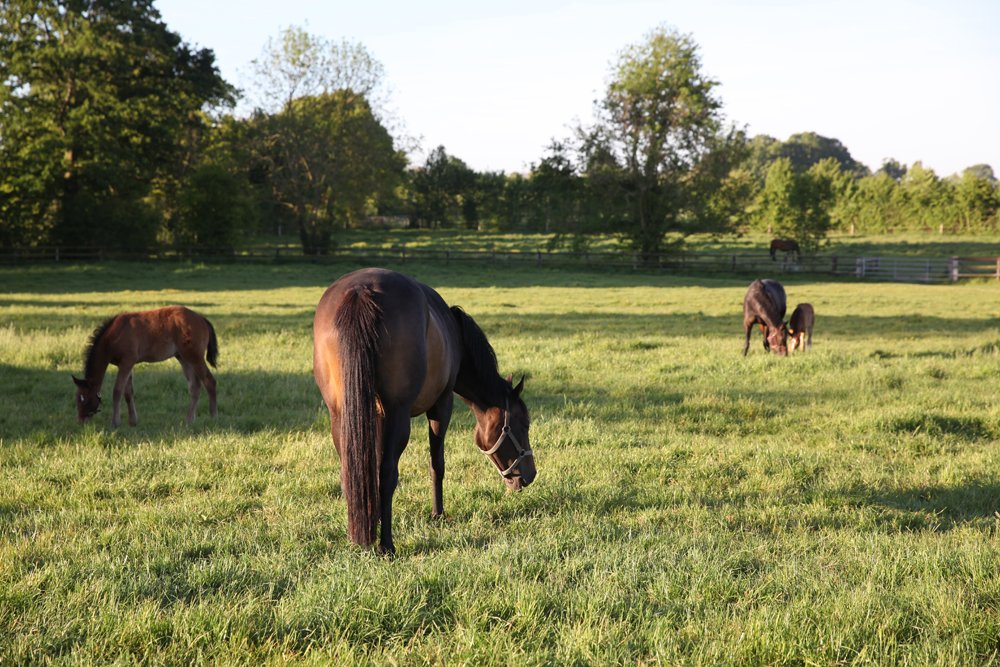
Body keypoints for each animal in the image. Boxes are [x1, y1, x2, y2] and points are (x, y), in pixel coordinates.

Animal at [73, 306, 218, 427]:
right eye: (78, 398)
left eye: (84, 399)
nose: (80, 421)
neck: (114, 336)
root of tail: (202, 318)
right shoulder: (127, 365)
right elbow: (128, 392)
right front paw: (133, 422)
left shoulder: (126, 362)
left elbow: (117, 391)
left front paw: (115, 422)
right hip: (183, 357)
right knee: (194, 386)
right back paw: (189, 420)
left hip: (194, 357)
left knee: (209, 381)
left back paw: (213, 417)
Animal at [313, 267, 535, 556]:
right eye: (523, 424)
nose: (530, 474)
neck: (454, 335)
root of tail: (361, 291)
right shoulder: (441, 405)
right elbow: (436, 463)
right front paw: (437, 514)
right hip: (399, 416)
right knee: (388, 474)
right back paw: (386, 545)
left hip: (341, 417)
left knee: (350, 473)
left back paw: (357, 537)